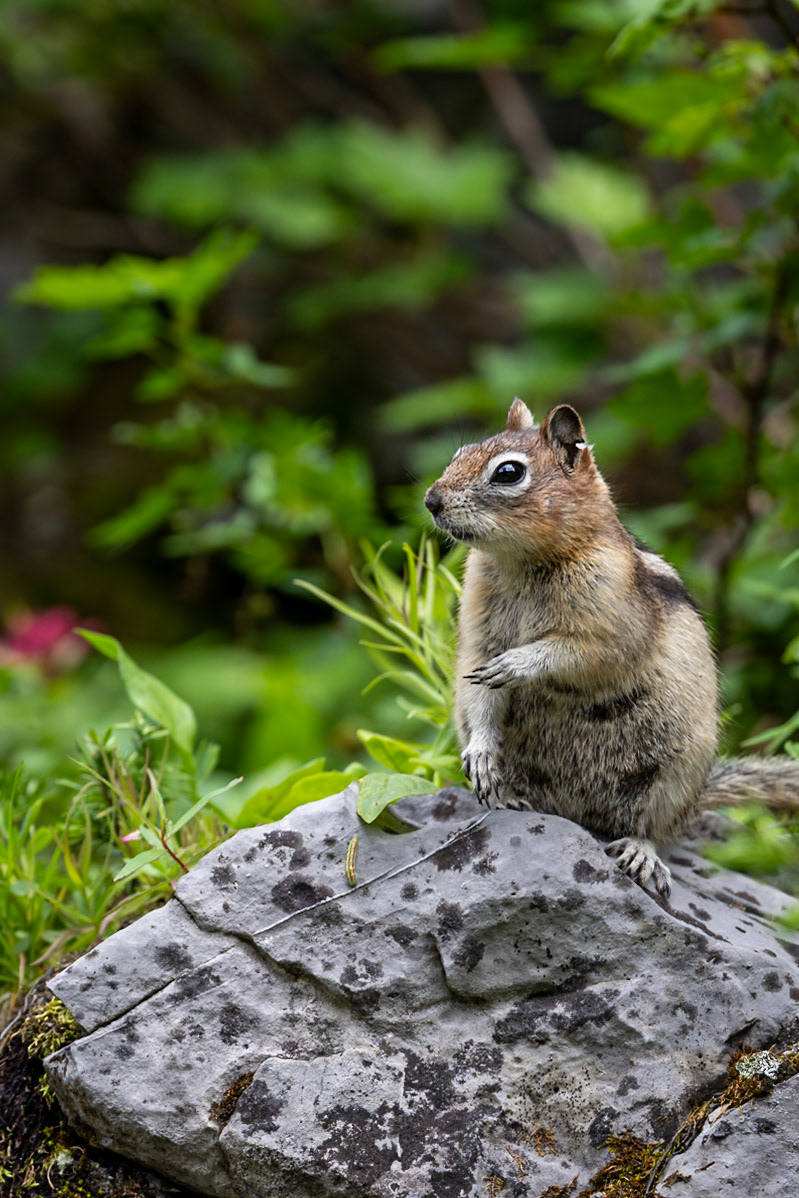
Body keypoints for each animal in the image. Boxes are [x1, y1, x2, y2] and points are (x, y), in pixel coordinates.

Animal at [424, 397, 799, 898]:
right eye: (460, 452)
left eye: (508, 472)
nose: (431, 500)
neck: (523, 561)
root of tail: (575, 813)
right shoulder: (479, 634)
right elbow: (478, 686)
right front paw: (482, 754)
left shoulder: (612, 624)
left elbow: (577, 654)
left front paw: (518, 663)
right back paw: (509, 797)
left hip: (671, 777)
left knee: (652, 828)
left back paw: (641, 851)